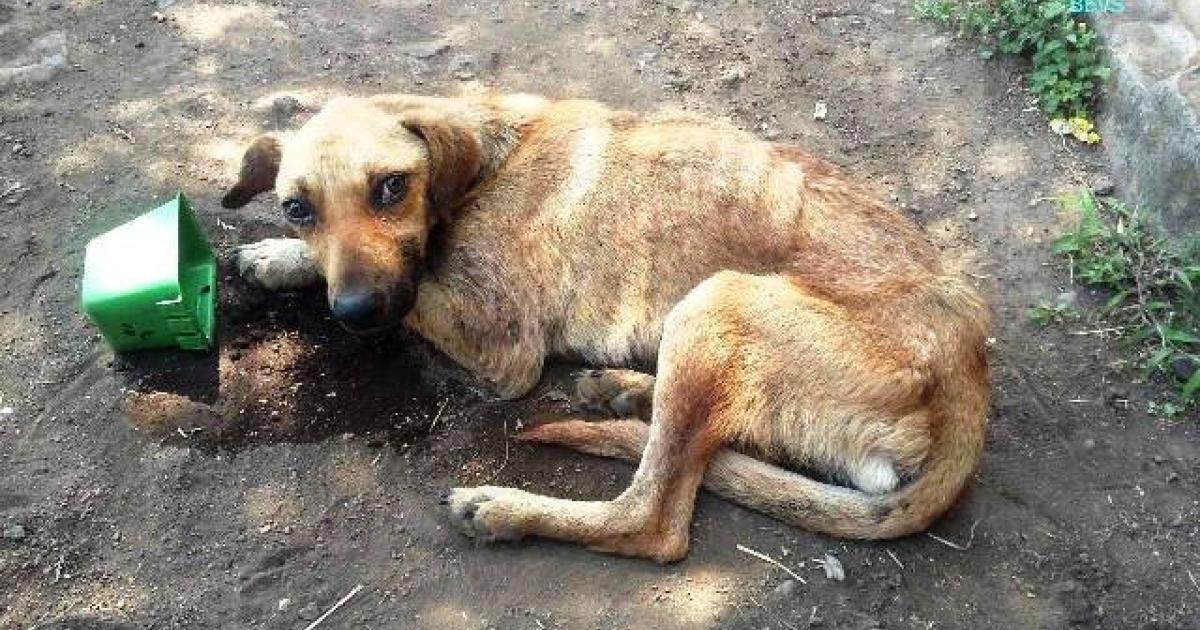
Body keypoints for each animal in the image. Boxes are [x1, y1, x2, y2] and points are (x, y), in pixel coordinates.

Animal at [220, 92, 988, 559]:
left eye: (390, 187)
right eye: (297, 208)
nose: (354, 316)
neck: (485, 162)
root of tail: (972, 375)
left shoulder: (503, 349)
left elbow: (416, 291)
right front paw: (278, 257)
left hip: (716, 302)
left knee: (650, 521)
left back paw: (509, 508)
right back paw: (622, 390)